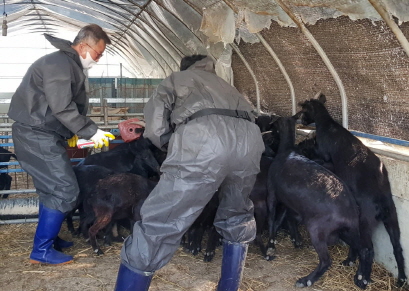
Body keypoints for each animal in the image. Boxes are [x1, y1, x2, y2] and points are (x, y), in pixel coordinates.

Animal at [268, 116, 364, 290]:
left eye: (275, 127)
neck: (287, 150)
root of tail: (351, 210)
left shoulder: (272, 191)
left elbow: (272, 218)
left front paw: (271, 246)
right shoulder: (290, 204)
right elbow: (286, 220)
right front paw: (296, 240)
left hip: (317, 229)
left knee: (326, 260)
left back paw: (306, 280)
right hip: (348, 230)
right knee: (363, 248)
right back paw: (357, 271)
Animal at [298, 93, 406, 290]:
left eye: (304, 110)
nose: (301, 120)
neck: (327, 125)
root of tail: (381, 199)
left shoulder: (327, 159)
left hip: (365, 221)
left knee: (368, 249)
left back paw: (361, 278)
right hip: (392, 219)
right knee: (397, 248)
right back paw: (401, 279)